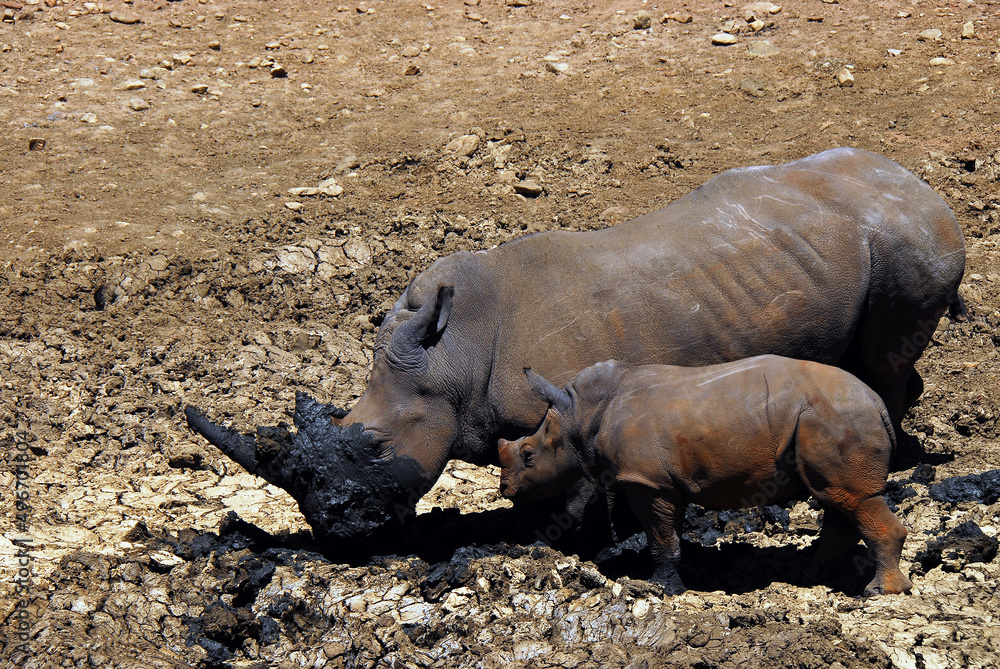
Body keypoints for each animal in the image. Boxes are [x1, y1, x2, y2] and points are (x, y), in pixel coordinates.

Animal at [186, 147, 966, 544]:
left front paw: (556, 539)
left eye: (373, 445)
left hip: (910, 245)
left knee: (887, 357)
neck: (452, 357)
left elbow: (574, 482)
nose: (332, 527)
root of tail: (925, 188)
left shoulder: (563, 404)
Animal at [498, 358, 913, 597]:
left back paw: (878, 593)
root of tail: (878, 403)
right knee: (839, 500)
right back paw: (808, 576)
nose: (505, 488)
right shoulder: (664, 481)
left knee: (852, 499)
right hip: (830, 416)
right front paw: (680, 578)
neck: (577, 415)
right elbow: (670, 533)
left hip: (836, 417)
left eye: (529, 455)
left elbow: (660, 536)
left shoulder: (644, 480)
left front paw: (661, 590)